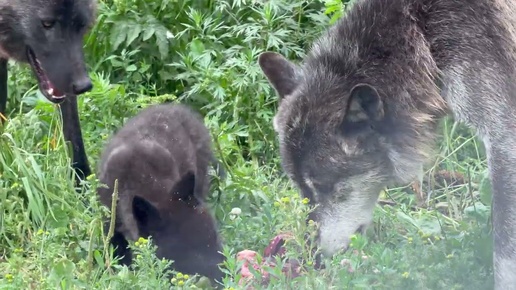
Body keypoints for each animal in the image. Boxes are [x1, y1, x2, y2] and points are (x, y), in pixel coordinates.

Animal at [260, 0, 516, 288]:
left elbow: (504, 255)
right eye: (301, 189)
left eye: (326, 187)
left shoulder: (504, 140)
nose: (312, 258)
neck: (421, 32)